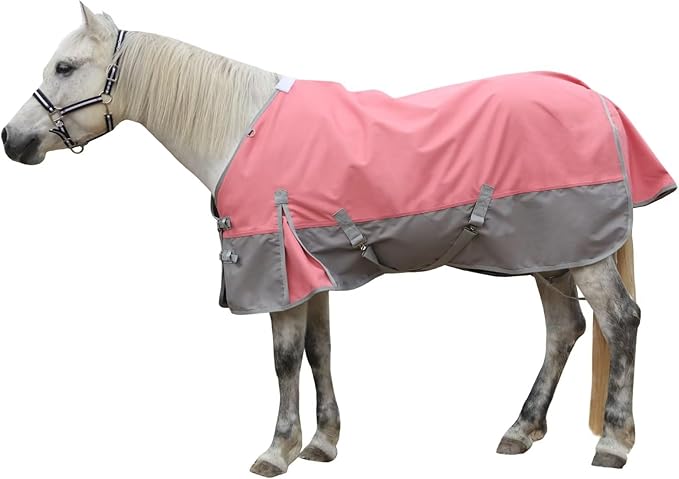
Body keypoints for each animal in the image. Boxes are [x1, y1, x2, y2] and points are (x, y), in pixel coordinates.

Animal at [2, 4, 675, 476]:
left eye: (65, 68)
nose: (13, 140)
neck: (239, 128)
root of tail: (596, 99)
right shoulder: (311, 272)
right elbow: (318, 352)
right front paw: (323, 443)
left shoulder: (275, 273)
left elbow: (282, 360)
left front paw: (276, 451)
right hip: (551, 252)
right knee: (565, 329)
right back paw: (521, 429)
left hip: (581, 252)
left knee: (620, 321)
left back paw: (613, 442)